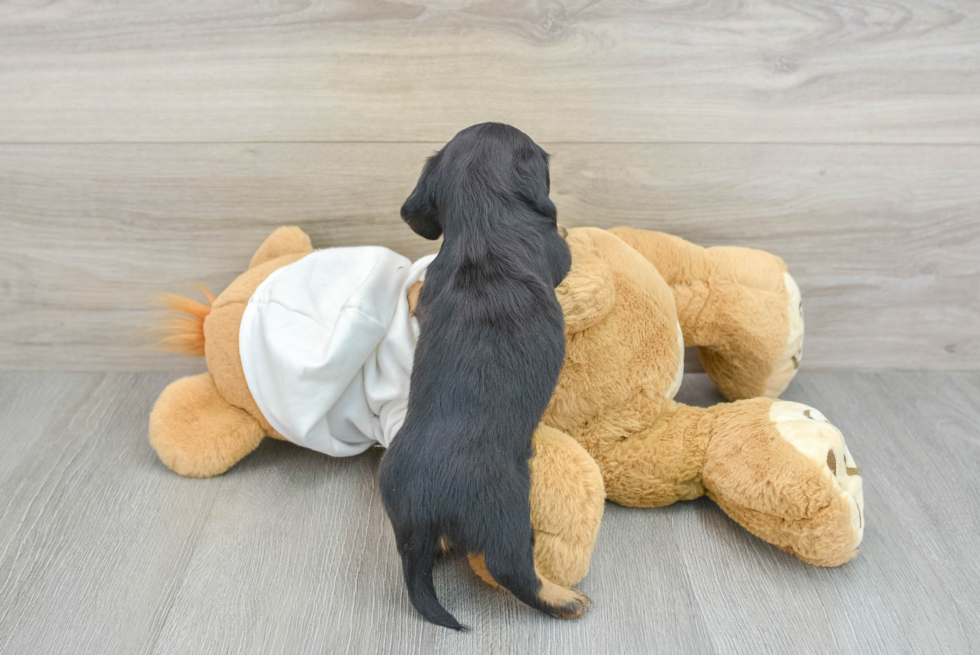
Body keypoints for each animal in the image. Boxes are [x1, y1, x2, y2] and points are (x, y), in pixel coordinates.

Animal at [380, 123, 580, 632]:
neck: (482, 227)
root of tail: (422, 503)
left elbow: (418, 290)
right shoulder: (556, 254)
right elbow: (562, 242)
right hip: (506, 510)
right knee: (510, 569)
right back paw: (565, 599)